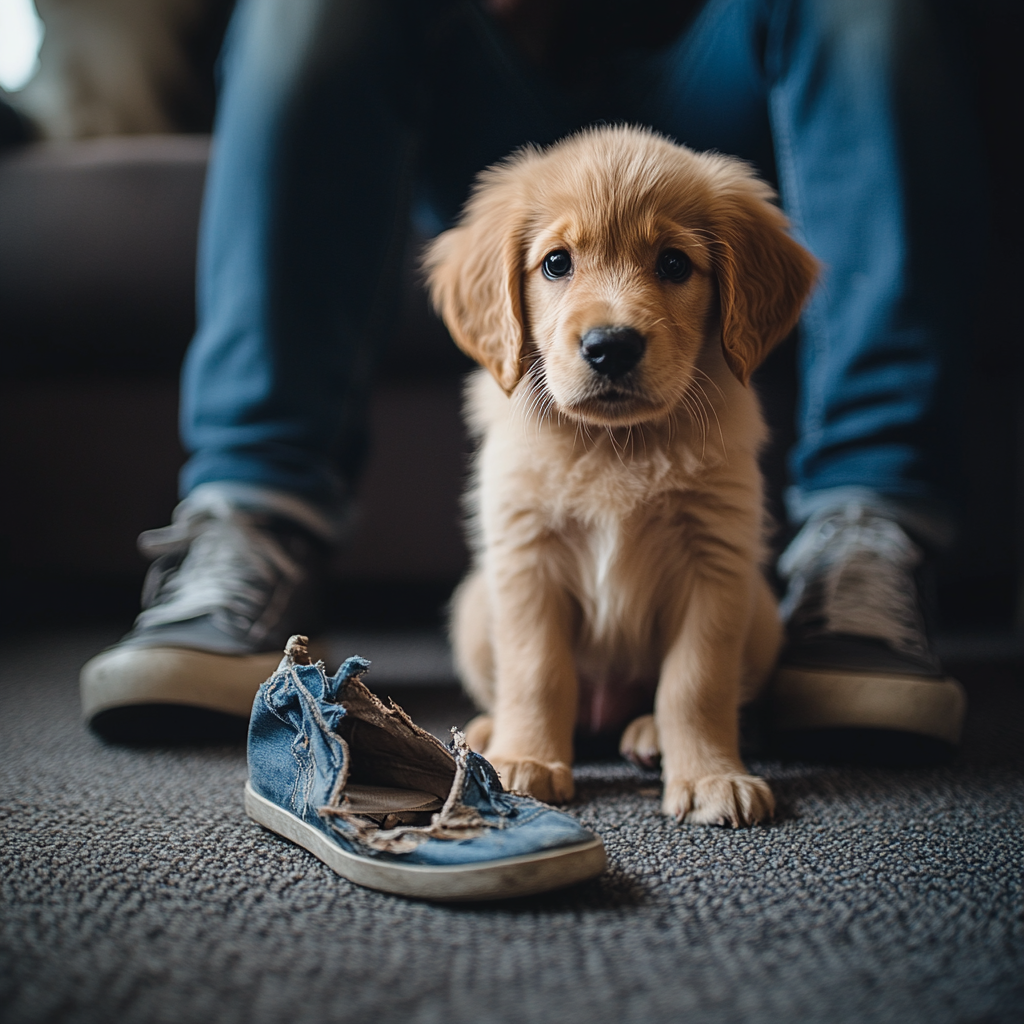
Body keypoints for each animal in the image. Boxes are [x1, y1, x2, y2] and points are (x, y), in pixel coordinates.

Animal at [421, 128, 815, 827]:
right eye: (556, 263)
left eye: (675, 265)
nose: (611, 346)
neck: (615, 445)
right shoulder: (525, 558)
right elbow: (537, 671)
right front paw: (528, 760)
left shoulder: (716, 562)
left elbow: (695, 682)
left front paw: (712, 776)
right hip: (473, 606)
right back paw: (497, 734)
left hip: (762, 615)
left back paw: (650, 737)